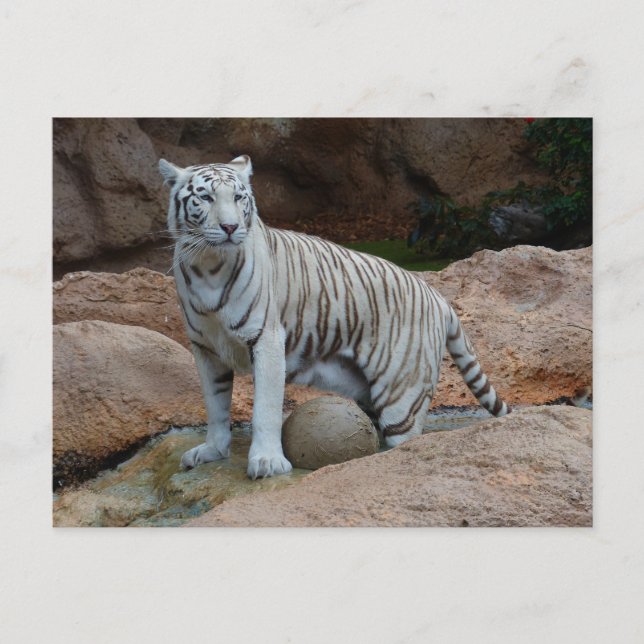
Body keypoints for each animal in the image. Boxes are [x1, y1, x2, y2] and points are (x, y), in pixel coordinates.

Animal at [159, 155, 510, 479]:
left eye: (238, 197)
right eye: (205, 197)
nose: (230, 228)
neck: (208, 265)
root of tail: (437, 296)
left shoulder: (266, 338)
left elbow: (265, 407)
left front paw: (267, 462)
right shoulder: (206, 348)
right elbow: (215, 405)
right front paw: (212, 451)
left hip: (402, 394)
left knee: (406, 441)